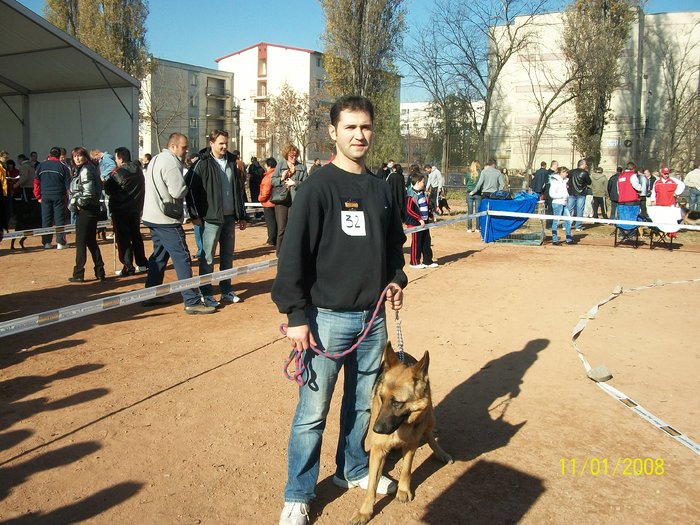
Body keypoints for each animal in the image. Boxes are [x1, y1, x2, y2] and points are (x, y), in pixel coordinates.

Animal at [350, 342, 454, 520]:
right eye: (381, 397)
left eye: (397, 403)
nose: (376, 430)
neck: (401, 426)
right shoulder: (378, 450)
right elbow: (371, 485)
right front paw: (364, 511)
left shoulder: (411, 445)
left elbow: (406, 470)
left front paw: (403, 490)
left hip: (430, 417)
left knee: (429, 435)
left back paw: (440, 453)